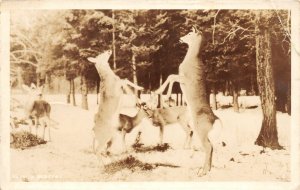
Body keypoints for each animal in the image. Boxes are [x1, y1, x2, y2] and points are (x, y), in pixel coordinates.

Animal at [155, 26, 220, 177]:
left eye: (190, 33)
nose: (180, 38)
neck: (191, 59)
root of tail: (215, 119)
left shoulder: (185, 79)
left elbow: (171, 76)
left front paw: (164, 93)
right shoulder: (181, 77)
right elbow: (171, 75)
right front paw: (163, 92)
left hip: (201, 129)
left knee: (208, 147)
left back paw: (202, 172)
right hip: (202, 131)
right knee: (211, 146)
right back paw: (206, 170)